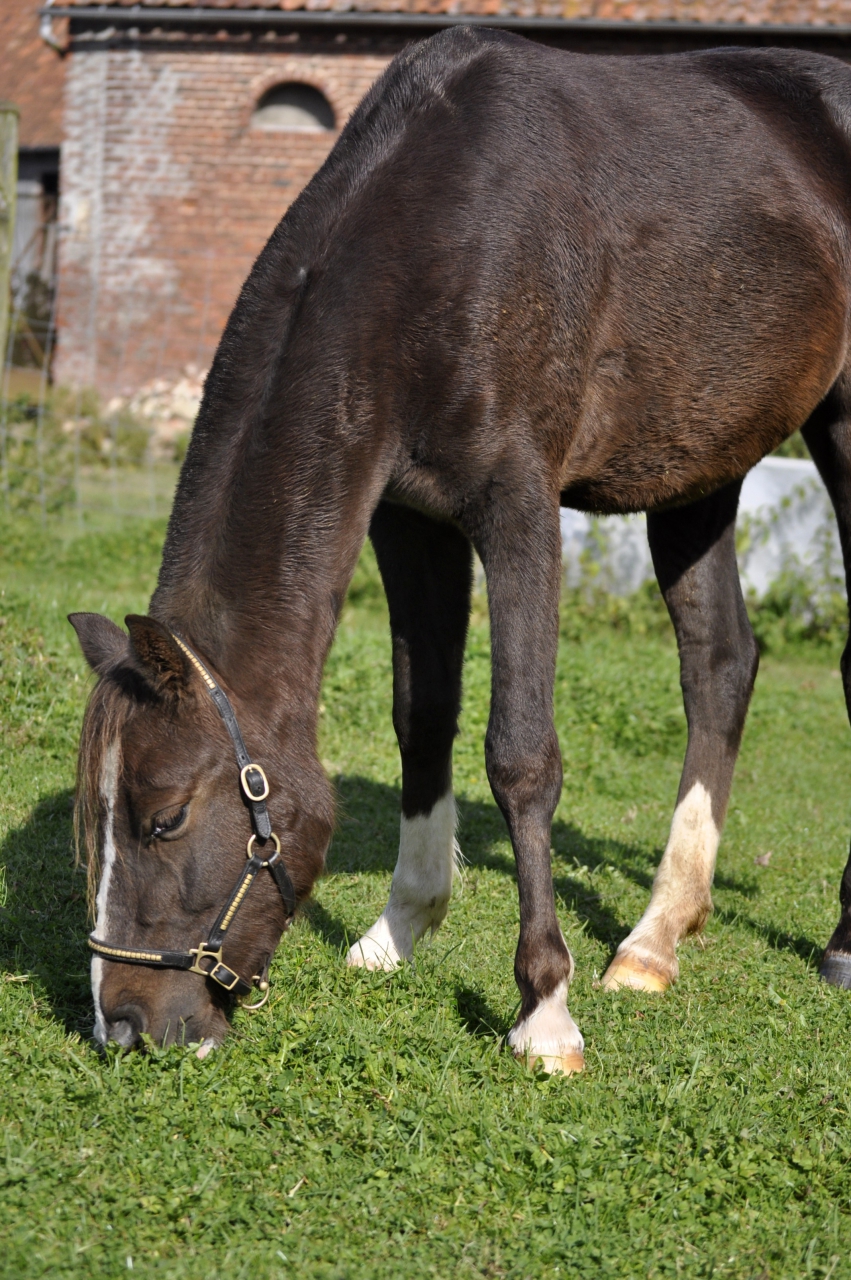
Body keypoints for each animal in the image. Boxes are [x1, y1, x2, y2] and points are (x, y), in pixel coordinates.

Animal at [70, 28, 851, 1071]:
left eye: (164, 819)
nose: (123, 1026)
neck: (437, 246)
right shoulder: (410, 520)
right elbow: (421, 717)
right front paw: (401, 925)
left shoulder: (516, 506)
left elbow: (518, 752)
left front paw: (544, 1009)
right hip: (697, 467)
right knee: (719, 664)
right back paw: (652, 940)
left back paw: (837, 943)